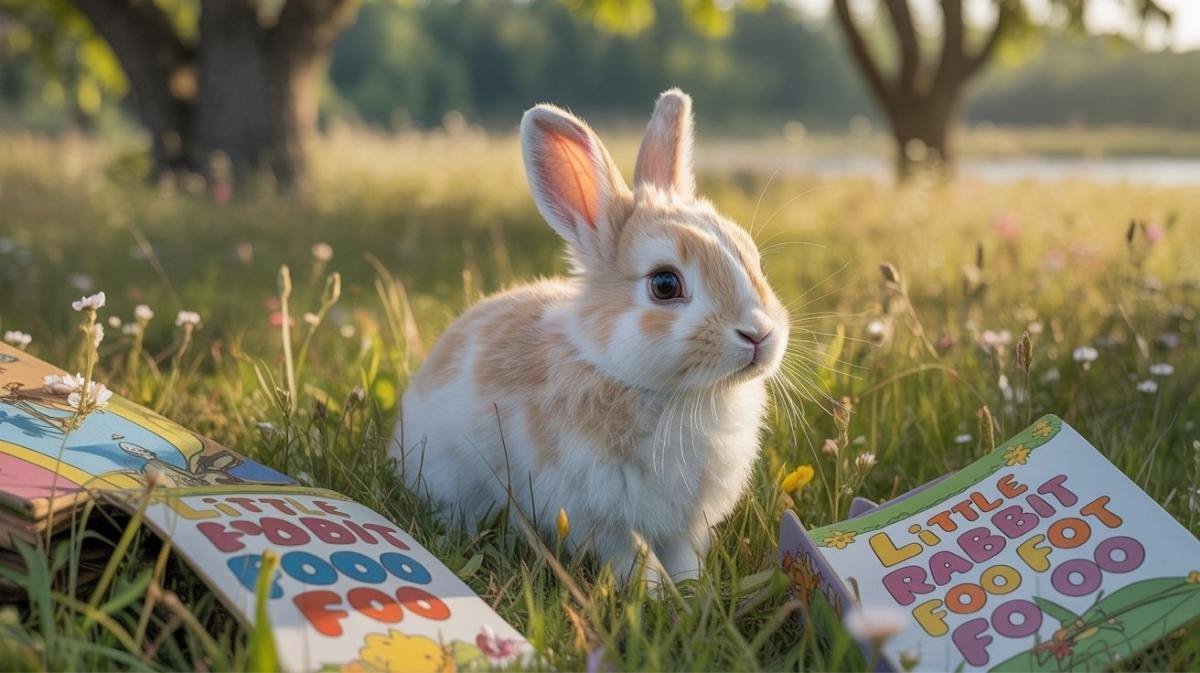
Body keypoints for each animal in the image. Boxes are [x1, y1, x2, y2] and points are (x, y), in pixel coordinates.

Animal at [394, 89, 789, 582]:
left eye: (755, 259)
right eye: (664, 284)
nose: (758, 334)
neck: (670, 394)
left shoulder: (683, 527)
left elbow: (683, 559)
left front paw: (693, 590)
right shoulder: (604, 521)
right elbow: (634, 562)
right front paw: (658, 593)